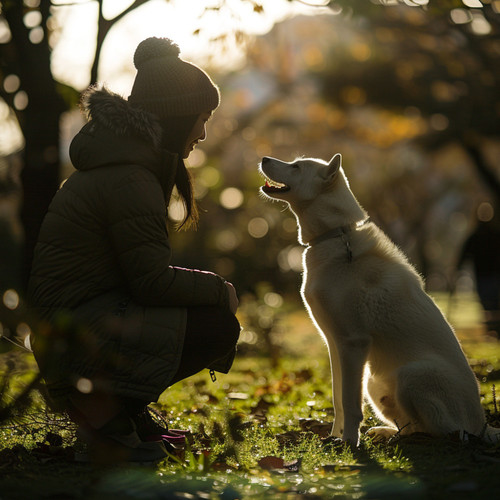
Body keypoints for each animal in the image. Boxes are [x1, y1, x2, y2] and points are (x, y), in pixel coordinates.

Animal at [260, 152, 498, 446]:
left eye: (296, 166)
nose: (263, 158)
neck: (335, 234)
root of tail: (483, 424)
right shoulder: (334, 344)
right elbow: (338, 400)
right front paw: (335, 437)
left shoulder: (354, 343)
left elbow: (351, 404)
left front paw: (349, 443)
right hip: (375, 382)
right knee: (412, 425)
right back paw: (388, 433)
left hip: (411, 374)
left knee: (446, 431)